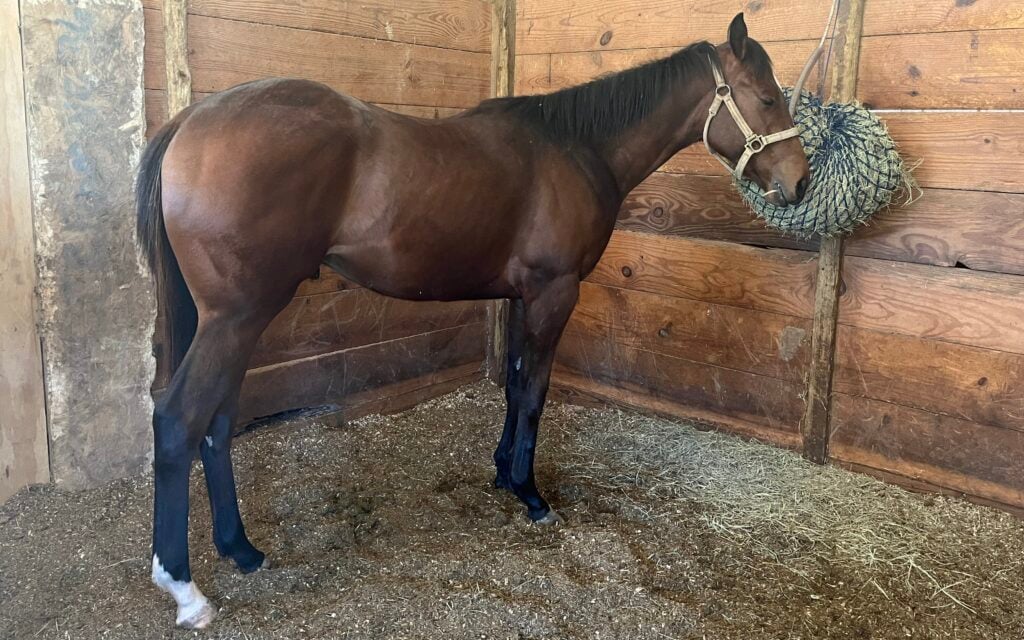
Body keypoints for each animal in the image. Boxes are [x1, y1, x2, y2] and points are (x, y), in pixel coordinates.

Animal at [136, 13, 809, 628]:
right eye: (768, 97)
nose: (799, 183)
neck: (574, 148)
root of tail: (191, 120)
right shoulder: (554, 294)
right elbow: (534, 392)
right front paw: (531, 495)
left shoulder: (520, 297)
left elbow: (512, 383)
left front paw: (503, 473)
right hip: (236, 317)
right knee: (179, 420)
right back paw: (185, 589)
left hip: (229, 322)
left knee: (218, 423)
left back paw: (241, 549)